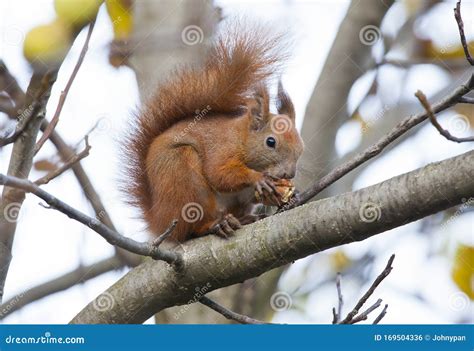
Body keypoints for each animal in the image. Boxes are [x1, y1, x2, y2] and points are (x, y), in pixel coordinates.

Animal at [123, 23, 304, 241]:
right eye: (271, 142)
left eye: (301, 148)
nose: (290, 173)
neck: (241, 138)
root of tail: (159, 219)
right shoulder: (220, 148)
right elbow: (219, 174)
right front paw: (258, 178)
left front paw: (285, 193)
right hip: (182, 175)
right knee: (190, 229)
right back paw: (216, 224)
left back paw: (243, 219)